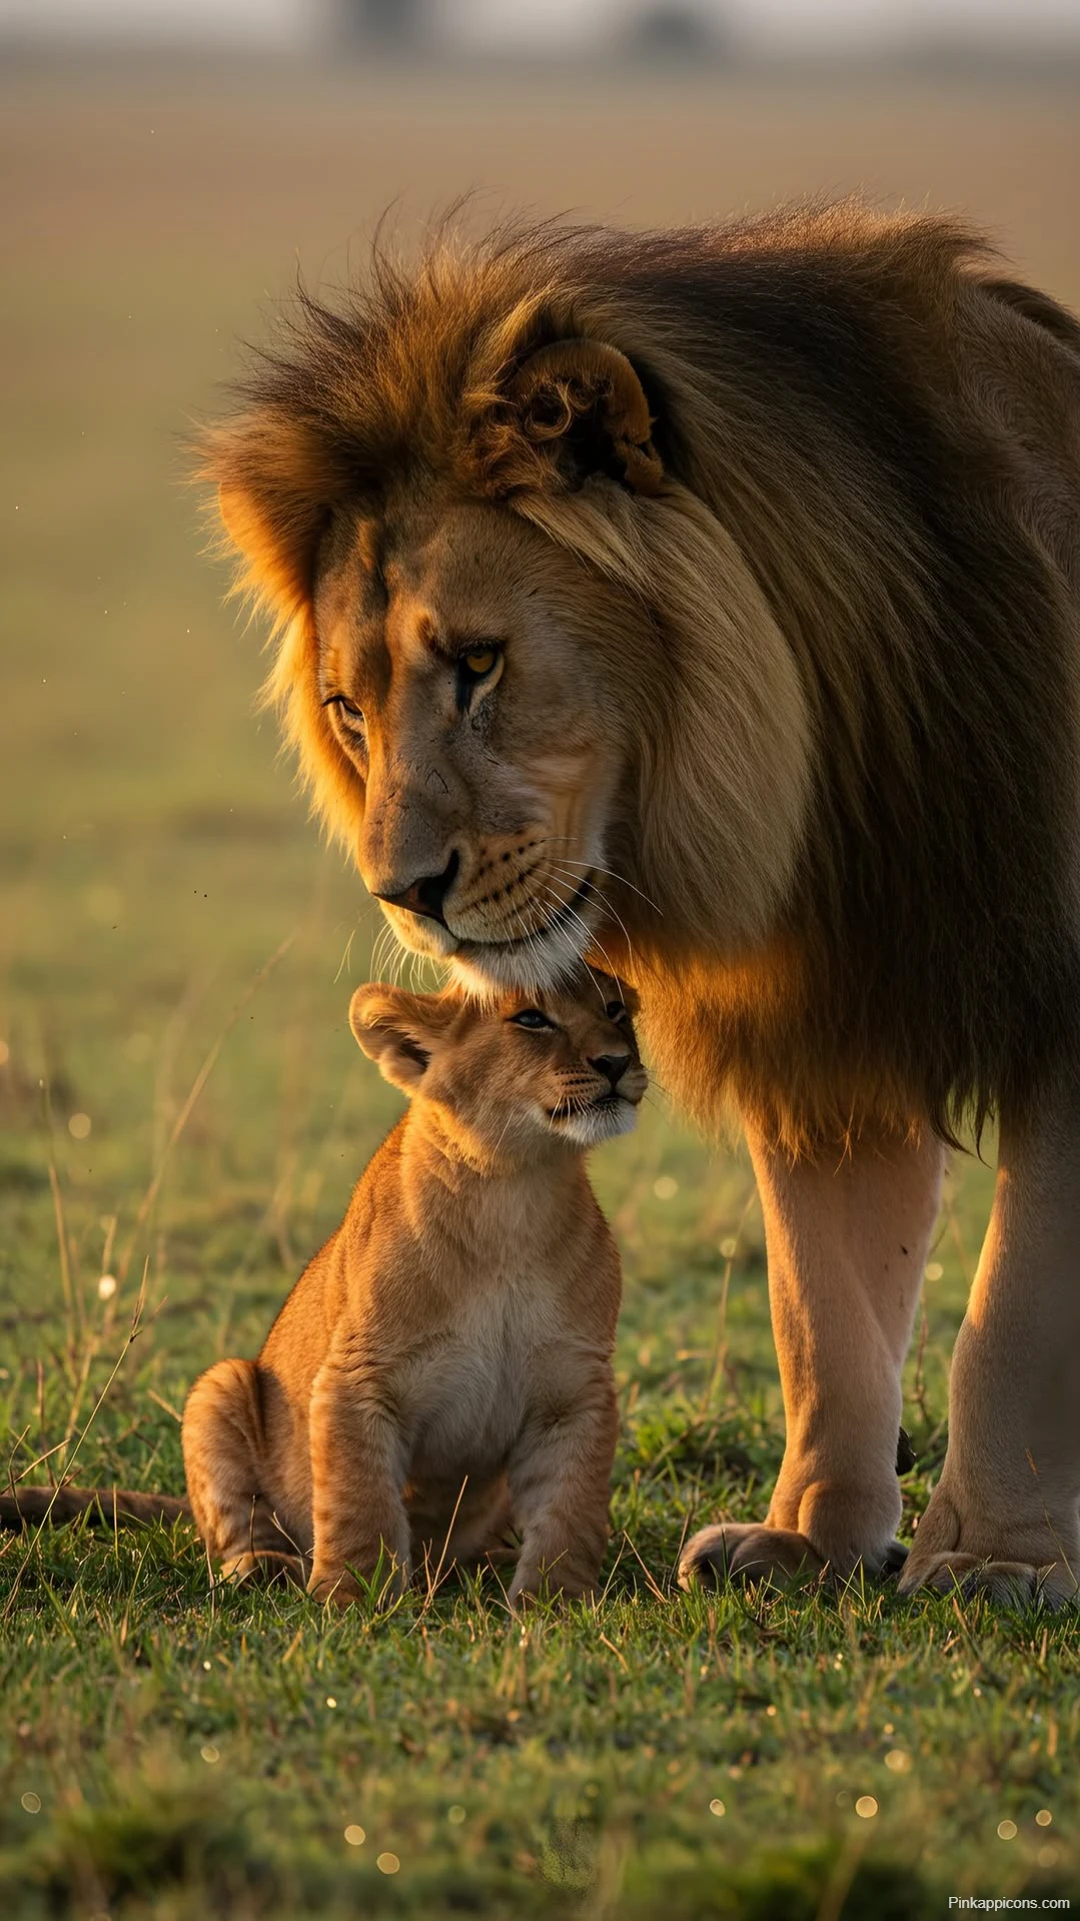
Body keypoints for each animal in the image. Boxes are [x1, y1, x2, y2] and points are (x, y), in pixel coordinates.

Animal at [201, 201, 1080, 1605]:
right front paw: (813, 1538)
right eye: (348, 708)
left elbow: (1018, 1313)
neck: (830, 793)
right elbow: (823, 1302)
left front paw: (995, 1558)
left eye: (479, 663)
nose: (404, 895)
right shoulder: (830, 1011)